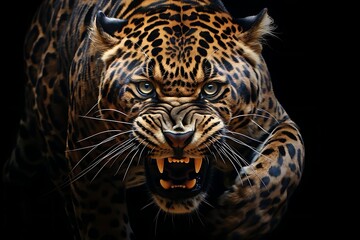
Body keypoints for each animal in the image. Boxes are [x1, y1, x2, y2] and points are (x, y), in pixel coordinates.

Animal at [3, 0, 304, 240]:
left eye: (210, 89)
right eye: (146, 88)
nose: (178, 137)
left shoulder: (273, 119)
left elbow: (286, 157)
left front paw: (241, 218)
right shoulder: (87, 164)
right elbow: (103, 223)